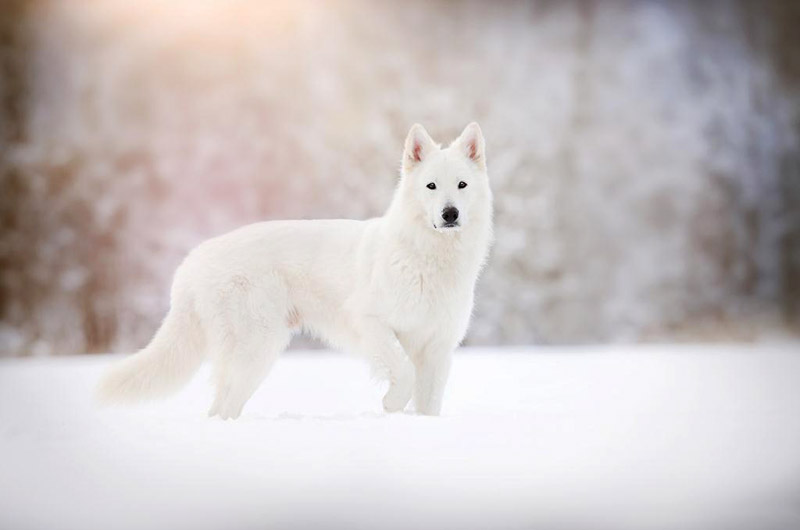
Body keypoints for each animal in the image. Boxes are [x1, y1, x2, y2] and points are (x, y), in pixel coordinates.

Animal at [97, 122, 490, 416]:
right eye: (431, 186)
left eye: (462, 185)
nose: (450, 213)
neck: (429, 256)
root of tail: (195, 260)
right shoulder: (371, 323)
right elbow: (403, 370)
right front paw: (392, 403)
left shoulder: (438, 348)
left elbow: (429, 404)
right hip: (257, 348)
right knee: (223, 408)